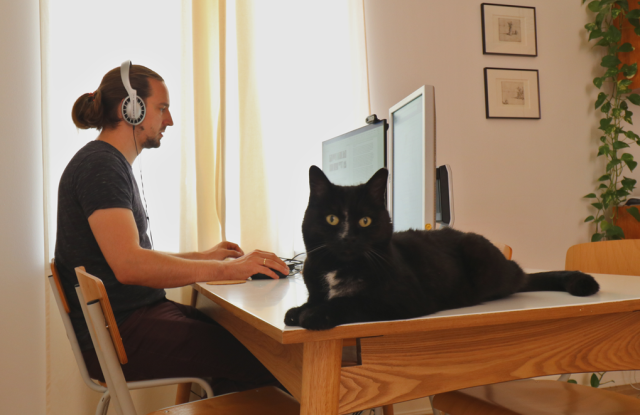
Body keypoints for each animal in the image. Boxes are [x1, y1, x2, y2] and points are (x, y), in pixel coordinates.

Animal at [284, 166, 600, 332]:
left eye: (365, 221)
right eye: (332, 219)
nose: (348, 238)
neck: (338, 269)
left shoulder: (403, 300)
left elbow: (351, 302)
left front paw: (313, 315)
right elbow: (314, 299)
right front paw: (299, 309)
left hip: (481, 258)